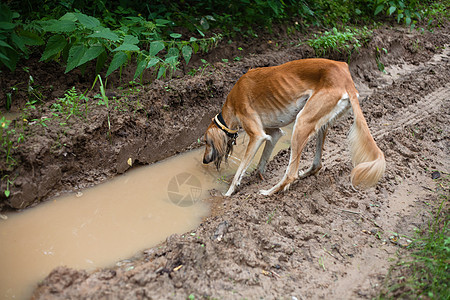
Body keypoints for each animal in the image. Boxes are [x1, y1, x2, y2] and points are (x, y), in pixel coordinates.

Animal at [202, 58, 384, 197]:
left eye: (206, 142)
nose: (204, 160)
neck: (231, 103)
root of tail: (346, 77)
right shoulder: (274, 133)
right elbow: (262, 160)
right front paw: (257, 177)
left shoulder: (257, 135)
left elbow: (241, 169)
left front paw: (228, 193)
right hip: (320, 122)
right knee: (316, 164)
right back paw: (305, 174)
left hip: (302, 121)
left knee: (291, 174)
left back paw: (269, 192)